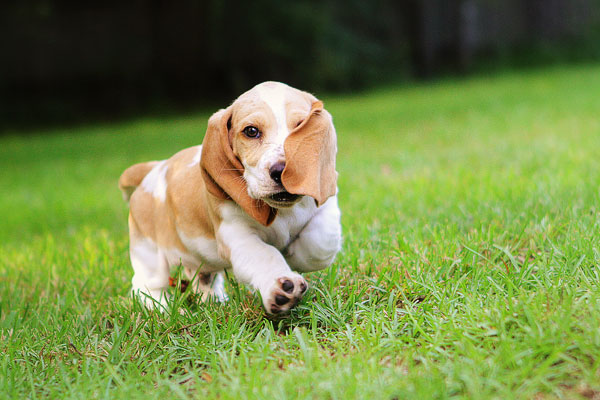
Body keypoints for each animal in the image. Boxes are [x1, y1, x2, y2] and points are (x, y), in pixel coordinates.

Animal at [118, 80, 342, 312]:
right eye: (251, 131)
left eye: (301, 126)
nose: (281, 171)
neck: (282, 212)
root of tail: (156, 167)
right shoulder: (238, 236)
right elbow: (266, 255)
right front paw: (281, 286)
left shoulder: (326, 209)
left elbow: (321, 243)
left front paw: (295, 256)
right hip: (148, 250)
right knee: (146, 285)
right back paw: (162, 309)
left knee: (202, 277)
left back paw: (214, 300)